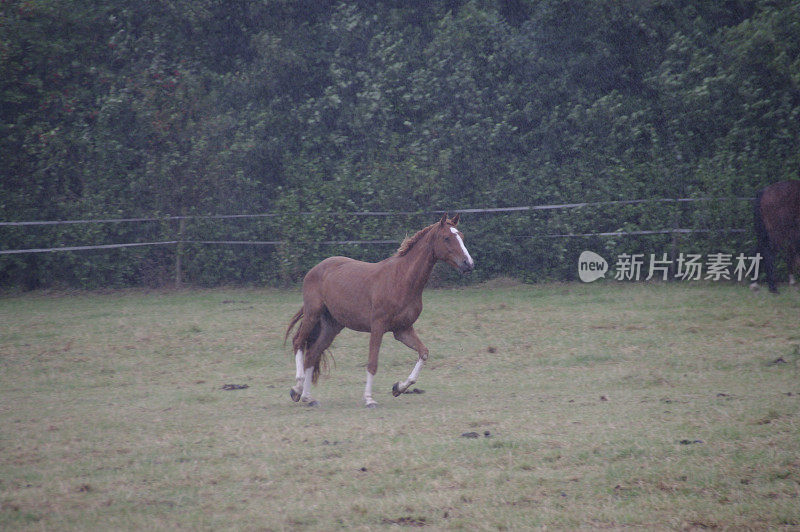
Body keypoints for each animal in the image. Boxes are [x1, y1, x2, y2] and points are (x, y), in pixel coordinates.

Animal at [286, 212, 472, 408]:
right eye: (446, 238)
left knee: (312, 354)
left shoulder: (403, 330)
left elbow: (423, 353)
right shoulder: (378, 327)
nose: (468, 264)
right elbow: (372, 363)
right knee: (298, 342)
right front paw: (369, 399)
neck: (401, 279)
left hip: (332, 326)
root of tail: (315, 269)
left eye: (461, 236)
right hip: (312, 314)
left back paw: (307, 397)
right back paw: (297, 388)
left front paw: (398, 388)